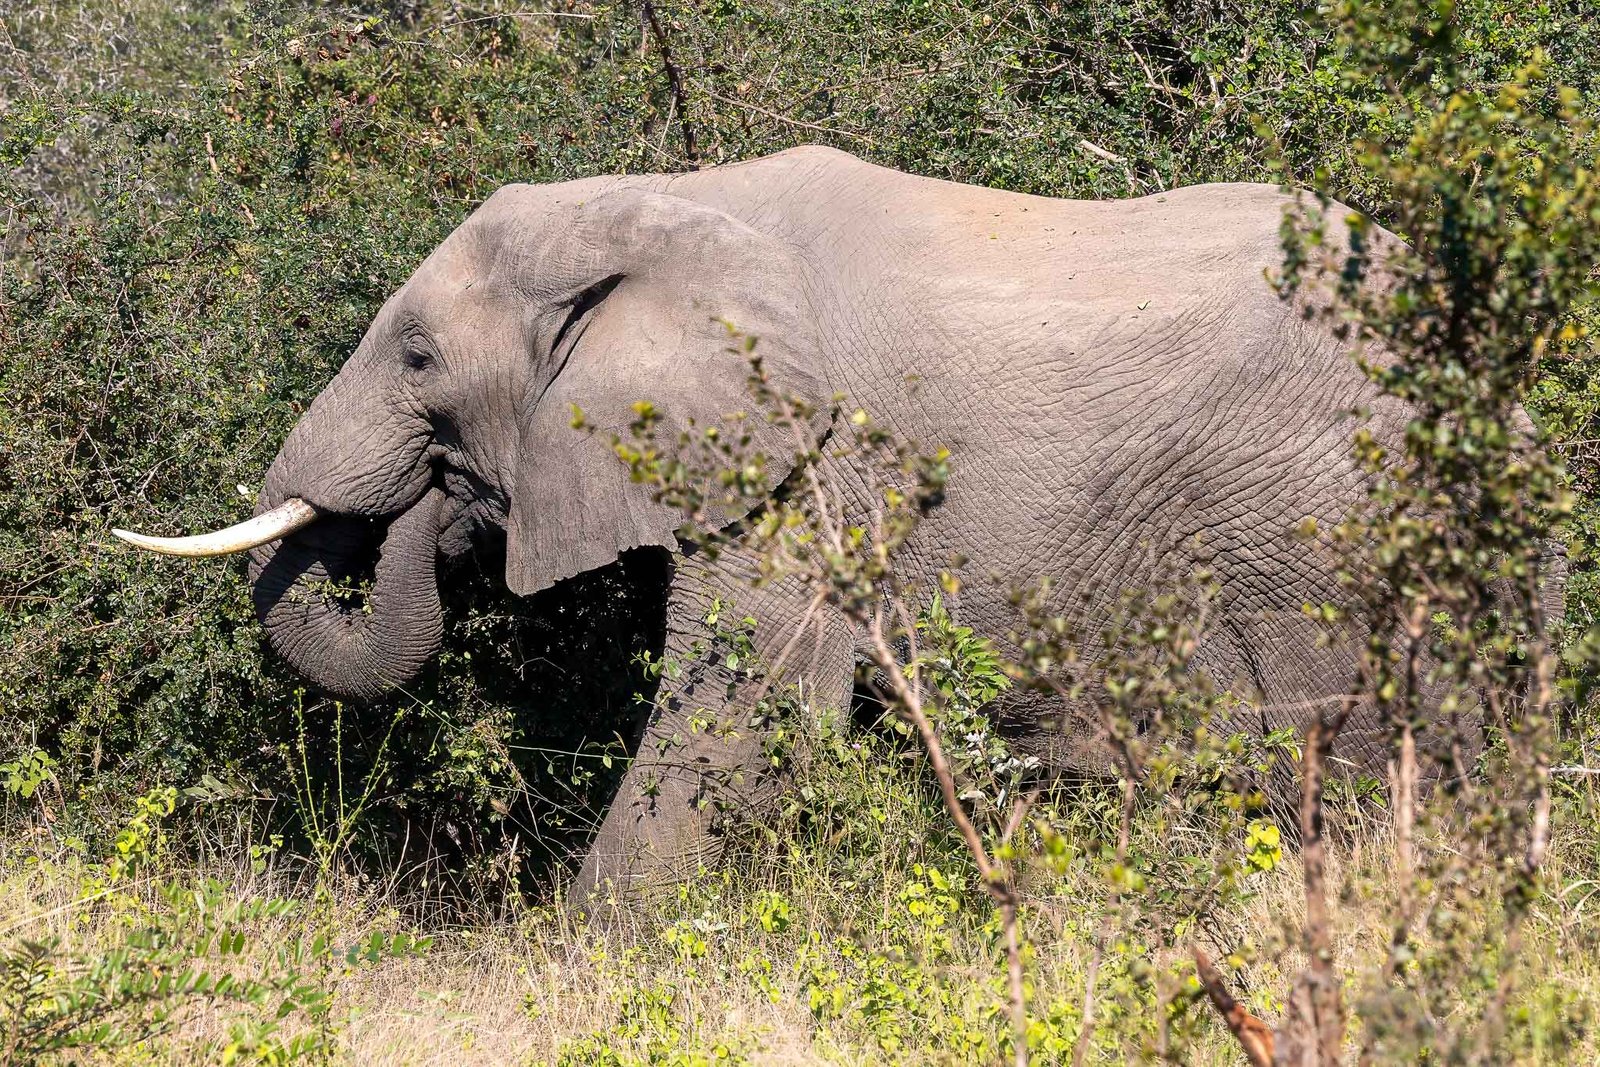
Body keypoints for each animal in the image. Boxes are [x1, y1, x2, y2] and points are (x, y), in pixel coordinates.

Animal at [113, 145, 1559, 897]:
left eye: (417, 357)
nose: (454, 498)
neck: (664, 200)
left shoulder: (801, 457)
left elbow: (746, 707)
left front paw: (568, 962)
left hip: (1320, 523)